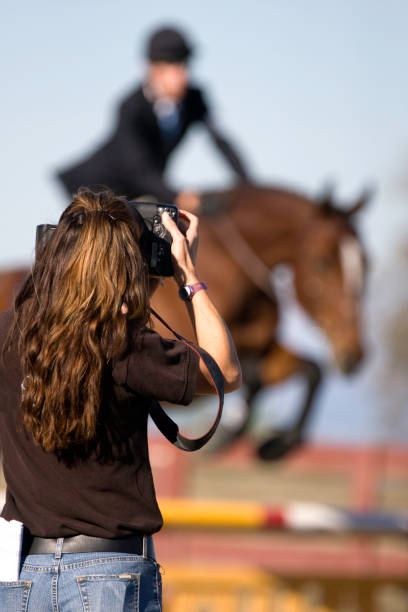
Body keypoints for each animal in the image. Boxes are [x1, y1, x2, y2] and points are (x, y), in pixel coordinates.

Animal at [0, 185, 368, 460]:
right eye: (322, 262)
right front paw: (231, 436)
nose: (354, 356)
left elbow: (311, 371)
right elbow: (252, 375)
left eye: (366, 262)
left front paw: (275, 447)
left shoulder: (263, 347)